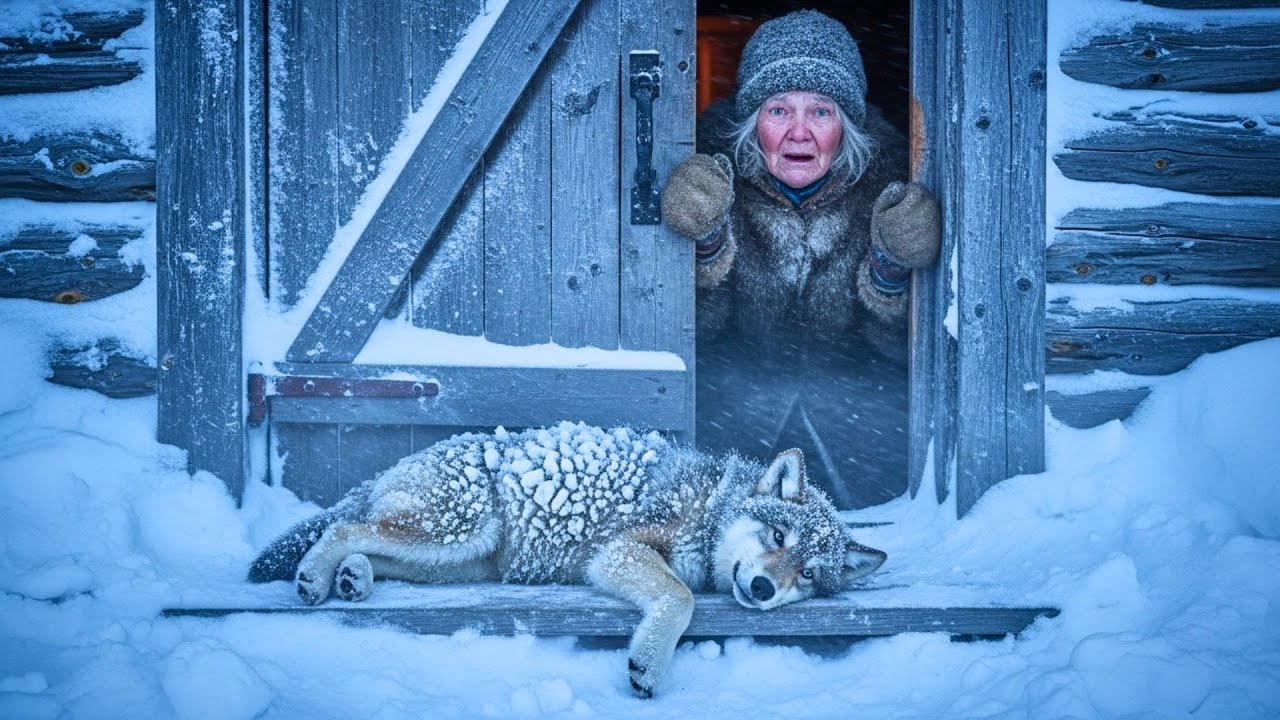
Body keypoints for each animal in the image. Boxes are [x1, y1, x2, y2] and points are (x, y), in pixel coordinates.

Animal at [248, 422, 886, 697]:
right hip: (454, 533)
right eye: (777, 536)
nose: (761, 590)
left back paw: (352, 578)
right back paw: (316, 576)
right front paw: (649, 665)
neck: (713, 504)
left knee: (368, 544)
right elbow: (680, 598)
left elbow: (683, 595)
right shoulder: (620, 551)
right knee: (343, 525)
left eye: (807, 573)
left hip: (459, 556)